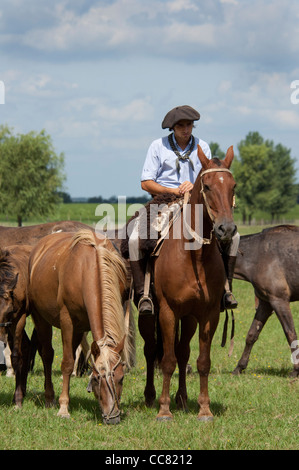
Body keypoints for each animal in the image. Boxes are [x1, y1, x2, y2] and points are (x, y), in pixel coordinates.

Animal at [139, 145, 238, 420]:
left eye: (233, 186)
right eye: (207, 186)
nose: (226, 229)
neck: (194, 256)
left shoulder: (208, 314)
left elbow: (201, 361)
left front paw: (204, 409)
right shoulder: (168, 312)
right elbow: (167, 361)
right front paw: (164, 410)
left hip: (190, 318)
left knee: (183, 353)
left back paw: (182, 399)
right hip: (149, 316)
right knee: (151, 350)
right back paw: (150, 397)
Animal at [234, 225, 299, 378]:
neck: (257, 255)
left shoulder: (279, 301)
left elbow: (291, 333)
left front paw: (296, 370)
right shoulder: (266, 303)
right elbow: (252, 334)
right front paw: (240, 367)